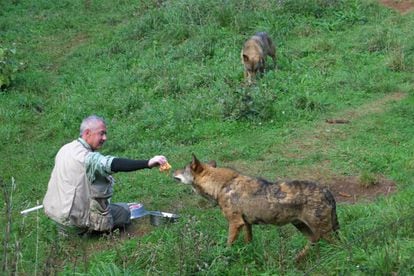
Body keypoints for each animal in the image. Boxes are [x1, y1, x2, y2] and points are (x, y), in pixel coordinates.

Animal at [173, 155, 338, 260]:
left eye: (183, 168)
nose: (172, 171)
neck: (222, 186)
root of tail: (327, 191)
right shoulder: (246, 223)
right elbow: (248, 243)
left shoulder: (235, 223)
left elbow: (227, 245)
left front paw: (223, 257)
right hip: (303, 227)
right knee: (313, 241)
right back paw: (296, 259)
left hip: (324, 232)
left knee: (338, 246)